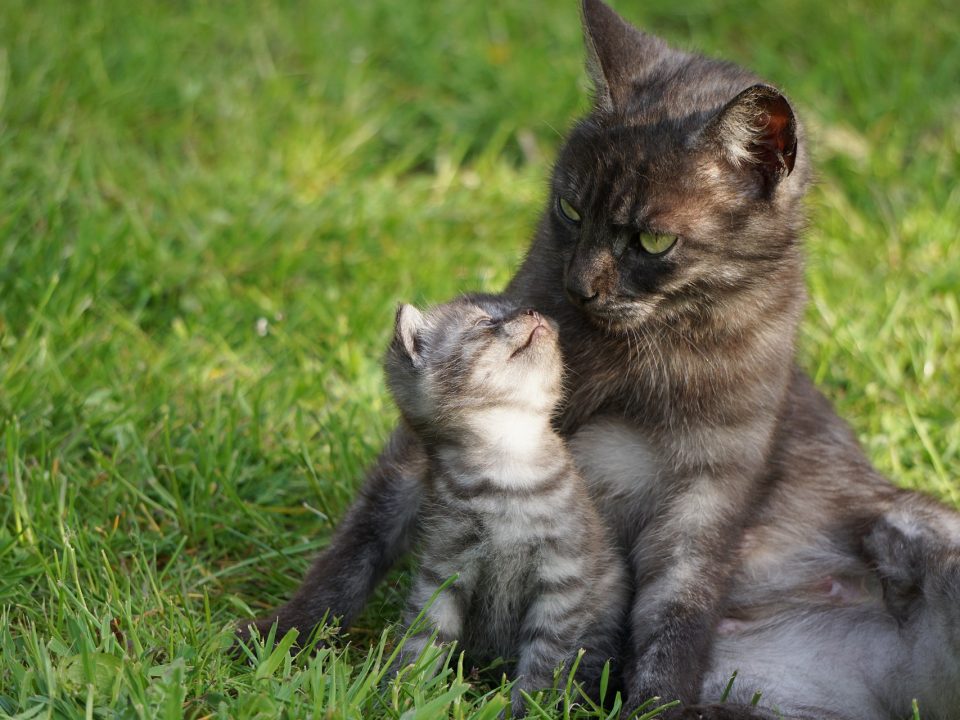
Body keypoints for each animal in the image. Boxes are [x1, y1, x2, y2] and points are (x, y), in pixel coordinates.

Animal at [382, 296, 632, 712]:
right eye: (485, 322)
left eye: (513, 309)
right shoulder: (445, 568)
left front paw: (527, 708)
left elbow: (543, 661)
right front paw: (401, 692)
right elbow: (424, 635)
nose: (532, 312)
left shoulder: (562, 580)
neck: (508, 470)